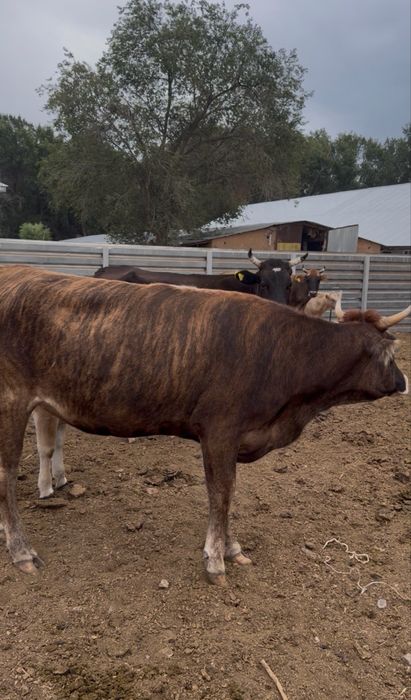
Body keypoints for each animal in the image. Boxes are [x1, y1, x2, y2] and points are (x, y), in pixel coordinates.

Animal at [0, 265, 409, 586]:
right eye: (390, 355)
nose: (403, 382)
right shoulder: (219, 431)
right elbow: (221, 492)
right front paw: (216, 557)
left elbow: (227, 493)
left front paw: (230, 547)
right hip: (10, 402)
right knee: (6, 475)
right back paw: (21, 550)